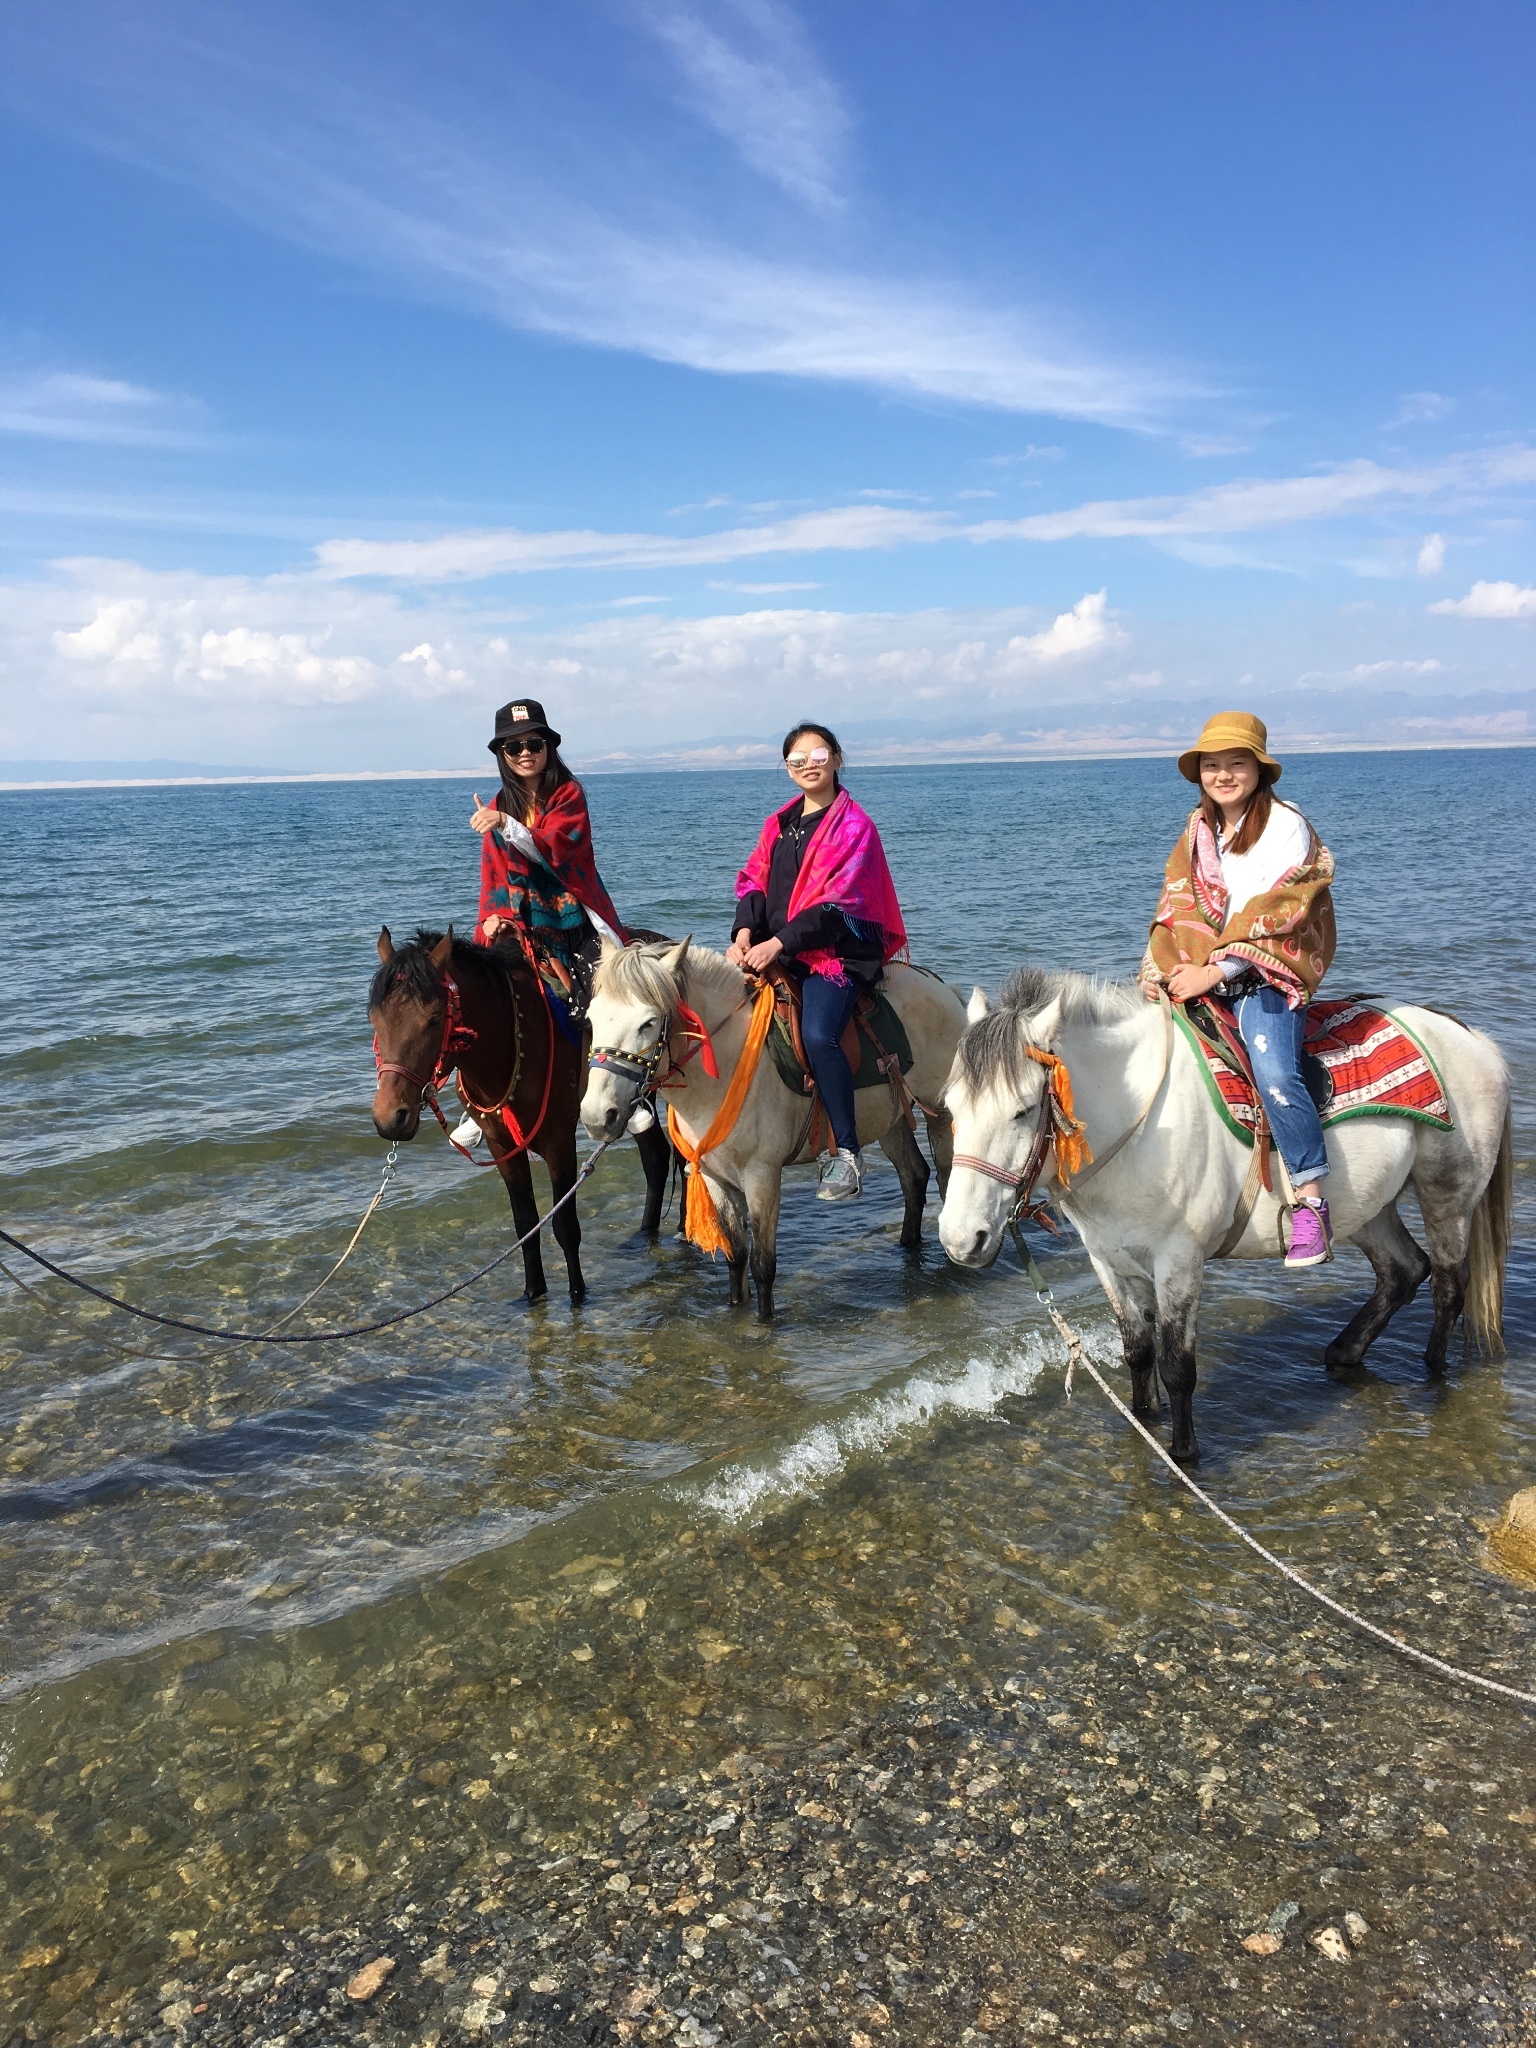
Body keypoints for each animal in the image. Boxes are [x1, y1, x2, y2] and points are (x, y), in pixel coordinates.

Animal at [370, 925, 675, 1302]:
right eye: (375, 1018)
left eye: (434, 1019)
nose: (389, 1118)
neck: (510, 1045)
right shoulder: (501, 1145)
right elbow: (525, 1223)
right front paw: (533, 1293)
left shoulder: (559, 1141)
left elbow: (565, 1225)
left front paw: (577, 1296)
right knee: (656, 1155)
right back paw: (645, 1233)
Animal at [581, 937, 966, 1310]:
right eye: (590, 1018)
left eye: (648, 1022)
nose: (597, 1116)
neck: (727, 1066)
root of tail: (944, 988)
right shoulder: (715, 1176)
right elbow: (737, 1257)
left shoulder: (762, 1177)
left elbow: (763, 1266)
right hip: (892, 1121)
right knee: (914, 1176)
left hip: (941, 1116)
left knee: (946, 1181)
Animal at [937, 966, 1515, 1466]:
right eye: (952, 1107)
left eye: (1022, 1109)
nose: (962, 1239)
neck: (1138, 1127)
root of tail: (1474, 1040)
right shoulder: (1109, 1260)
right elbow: (1138, 1352)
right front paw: (1144, 1422)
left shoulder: (1179, 1261)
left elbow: (1177, 1365)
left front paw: (1183, 1455)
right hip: (1369, 1206)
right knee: (1402, 1271)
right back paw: (1344, 1352)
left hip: (1447, 1196)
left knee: (1448, 1285)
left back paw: (1433, 1374)